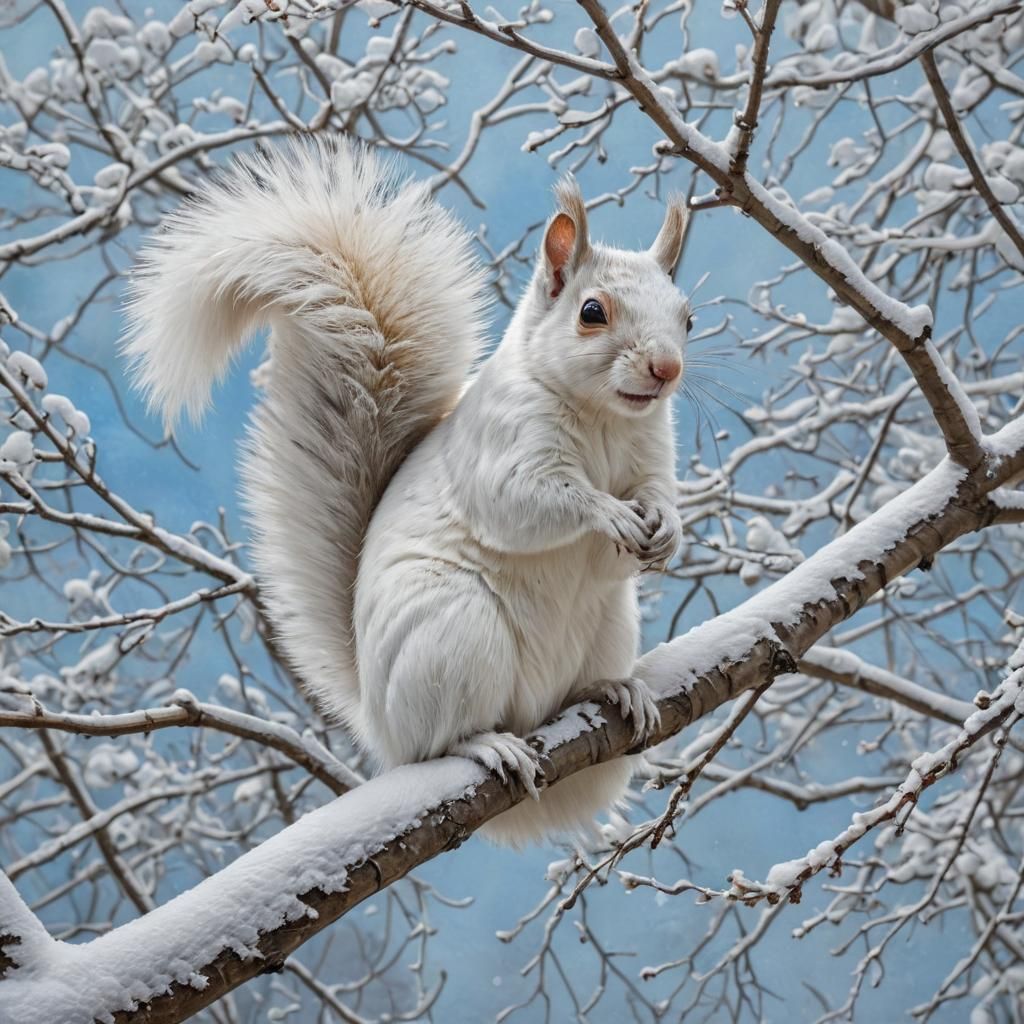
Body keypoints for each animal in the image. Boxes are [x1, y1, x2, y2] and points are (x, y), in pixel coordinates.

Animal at [123, 138, 690, 846]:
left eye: (688, 316)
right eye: (592, 312)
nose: (667, 369)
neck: (606, 419)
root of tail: (379, 723)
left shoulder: (653, 451)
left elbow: (657, 492)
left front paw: (667, 528)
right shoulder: (502, 449)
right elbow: (528, 502)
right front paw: (608, 515)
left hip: (609, 625)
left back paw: (612, 692)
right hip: (457, 634)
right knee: (438, 742)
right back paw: (484, 743)